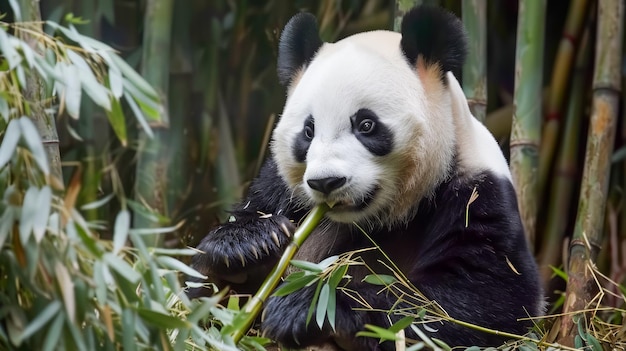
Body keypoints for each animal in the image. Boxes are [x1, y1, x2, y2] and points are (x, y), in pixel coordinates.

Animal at [191, 6, 540, 351]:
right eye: (308, 130)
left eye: (366, 125)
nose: (326, 182)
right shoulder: (279, 189)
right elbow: (199, 302)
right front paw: (248, 244)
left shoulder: (477, 194)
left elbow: (480, 301)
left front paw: (307, 307)